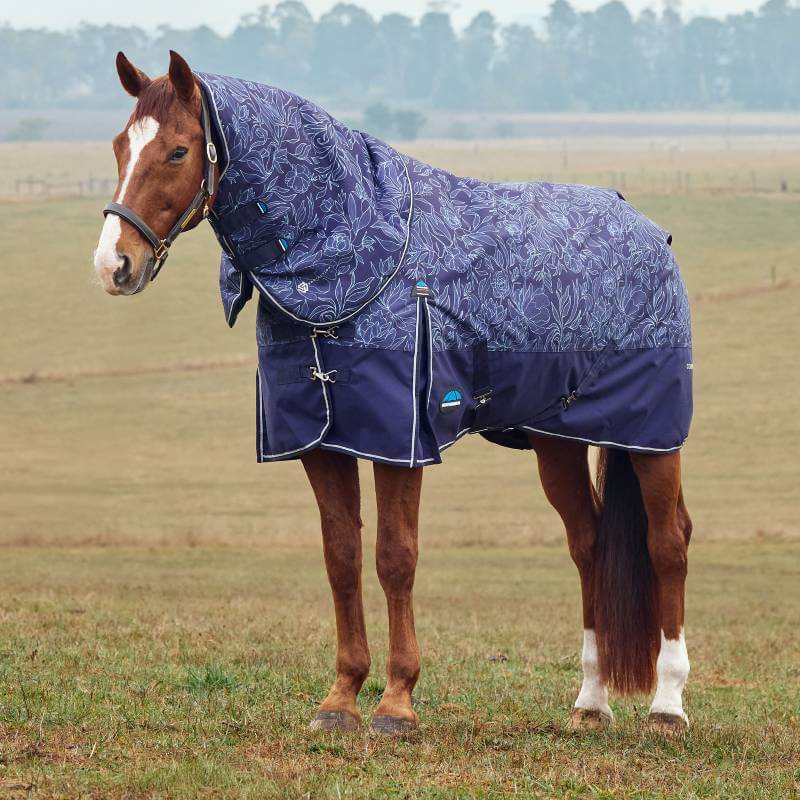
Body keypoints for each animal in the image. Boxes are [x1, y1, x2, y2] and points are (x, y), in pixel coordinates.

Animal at [93, 50, 693, 737]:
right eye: (120, 146)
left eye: (178, 150)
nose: (113, 265)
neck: (352, 253)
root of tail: (647, 231)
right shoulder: (322, 441)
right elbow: (342, 558)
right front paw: (341, 699)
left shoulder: (400, 440)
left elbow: (395, 557)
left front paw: (397, 702)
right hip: (558, 440)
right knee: (589, 545)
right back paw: (590, 701)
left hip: (652, 437)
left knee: (668, 543)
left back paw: (668, 706)